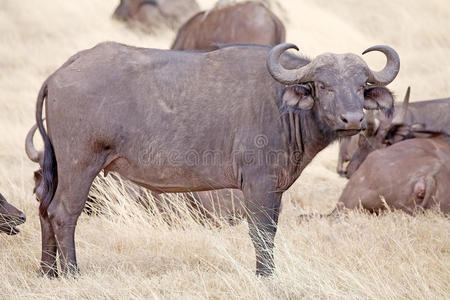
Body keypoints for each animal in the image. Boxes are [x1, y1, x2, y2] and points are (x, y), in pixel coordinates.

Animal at [30, 42, 398, 276]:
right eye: (323, 85)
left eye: (361, 86)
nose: (353, 119)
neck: (280, 105)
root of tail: (62, 72)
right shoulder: (258, 184)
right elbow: (261, 231)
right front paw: (265, 275)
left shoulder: (276, 188)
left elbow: (272, 229)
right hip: (80, 165)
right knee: (63, 212)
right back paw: (72, 273)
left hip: (57, 167)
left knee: (45, 209)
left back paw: (48, 272)